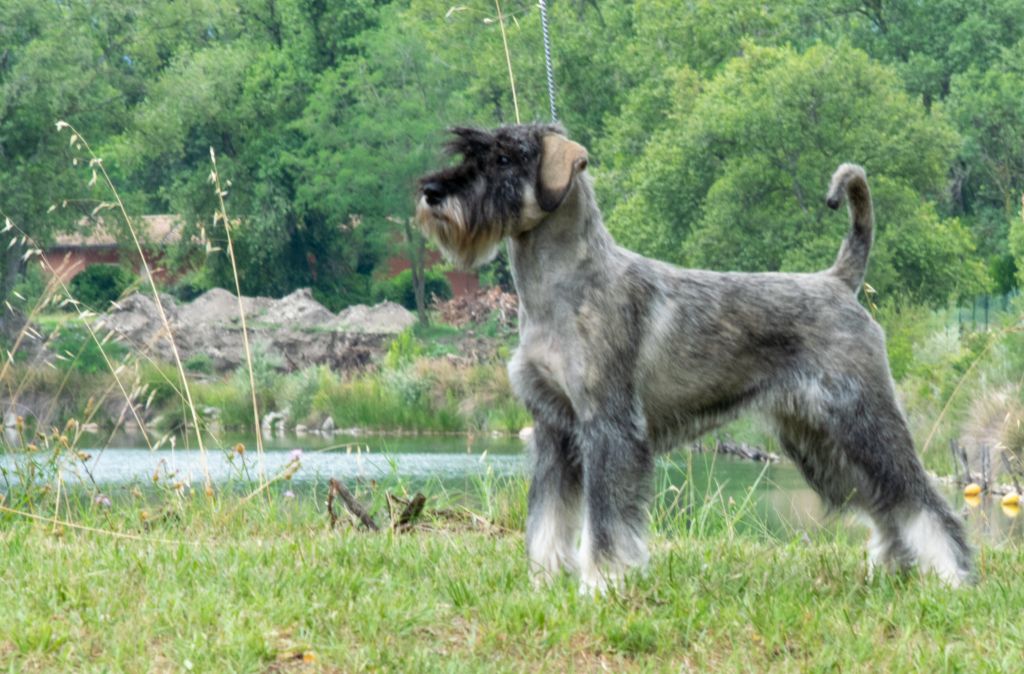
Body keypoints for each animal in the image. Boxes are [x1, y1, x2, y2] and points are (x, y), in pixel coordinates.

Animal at [413, 123, 966, 590]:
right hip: (822, 441)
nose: (432, 193)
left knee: (922, 499)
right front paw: (545, 582)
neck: (563, 285)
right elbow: (548, 518)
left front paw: (602, 583)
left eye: (505, 157)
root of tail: (837, 282)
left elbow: (606, 521)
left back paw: (953, 576)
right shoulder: (553, 429)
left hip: (864, 420)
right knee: (884, 500)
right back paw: (895, 567)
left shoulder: (609, 429)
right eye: (472, 152)